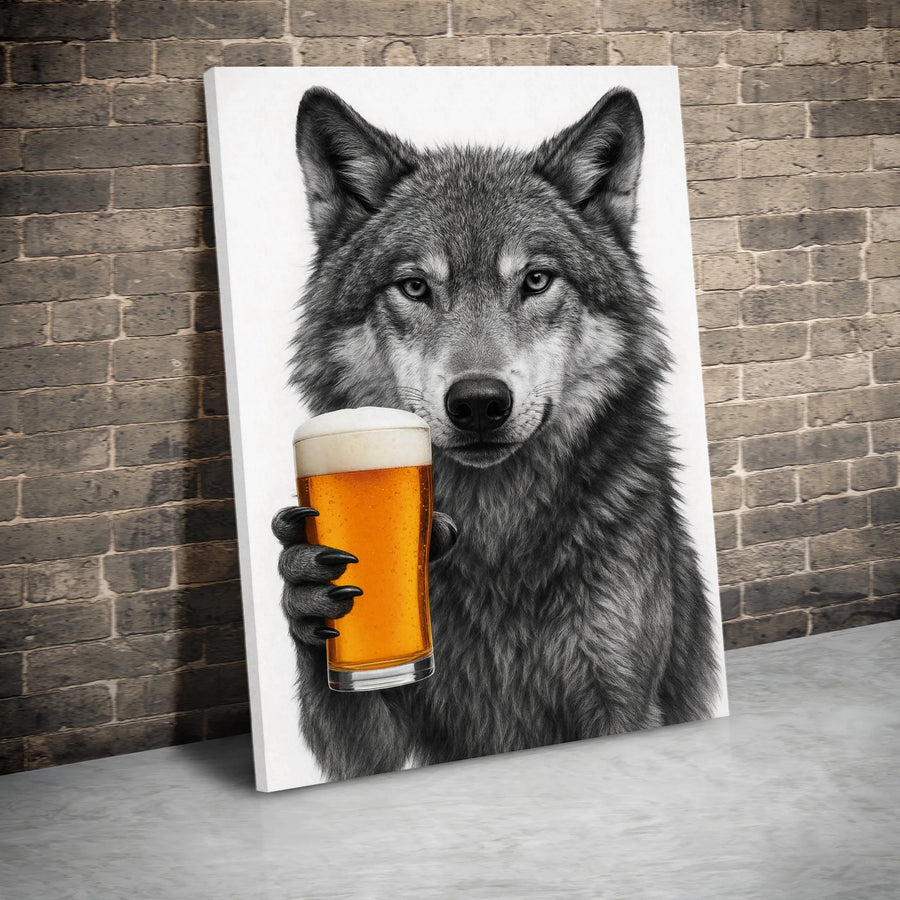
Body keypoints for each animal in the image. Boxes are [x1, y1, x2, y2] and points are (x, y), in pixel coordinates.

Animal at [273, 85, 720, 781]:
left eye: (536, 280)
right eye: (414, 286)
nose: (479, 403)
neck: (496, 539)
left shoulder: (624, 702)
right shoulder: (374, 742)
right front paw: (310, 589)